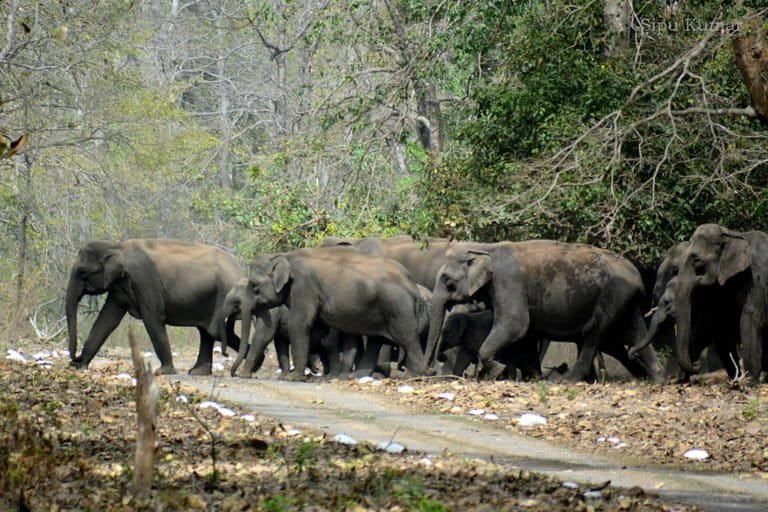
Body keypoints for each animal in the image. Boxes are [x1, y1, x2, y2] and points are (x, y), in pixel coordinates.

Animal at [65, 238, 242, 374]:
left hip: (222, 295)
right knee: (206, 331)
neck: (117, 246)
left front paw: (163, 372)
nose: (74, 359)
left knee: (215, 331)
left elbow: (153, 318)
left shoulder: (144, 280)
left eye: (84, 273)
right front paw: (80, 367)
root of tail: (239, 269)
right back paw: (198, 372)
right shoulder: (118, 288)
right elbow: (107, 320)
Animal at [237, 248, 428, 380]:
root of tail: (412, 283)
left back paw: (415, 375)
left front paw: (293, 378)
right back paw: (355, 376)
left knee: (407, 338)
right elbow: (317, 327)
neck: (284, 256)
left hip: (398, 308)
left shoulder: (303, 287)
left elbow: (299, 323)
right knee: (376, 340)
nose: (236, 375)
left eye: (254, 285)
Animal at [424, 239, 664, 380]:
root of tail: (637, 276)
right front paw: (533, 378)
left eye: (447, 280)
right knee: (635, 333)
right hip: (626, 300)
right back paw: (653, 378)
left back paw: (570, 381)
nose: (430, 370)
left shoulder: (508, 283)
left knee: (593, 334)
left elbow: (516, 324)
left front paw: (497, 371)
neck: (486, 247)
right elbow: (526, 334)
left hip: (612, 296)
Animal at [672, 226, 768, 382]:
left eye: (696, 259)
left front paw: (750, 382)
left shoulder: (757, 279)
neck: (732, 235)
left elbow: (751, 317)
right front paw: (681, 381)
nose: (697, 366)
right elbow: (710, 325)